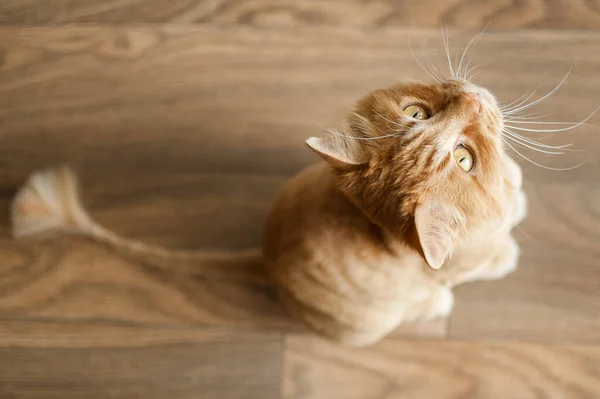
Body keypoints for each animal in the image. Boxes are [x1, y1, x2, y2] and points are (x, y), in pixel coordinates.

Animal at [9, 77, 524, 346]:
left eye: (464, 157)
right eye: (418, 114)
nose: (472, 97)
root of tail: (265, 260)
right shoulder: (465, 264)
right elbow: (488, 261)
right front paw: (507, 254)